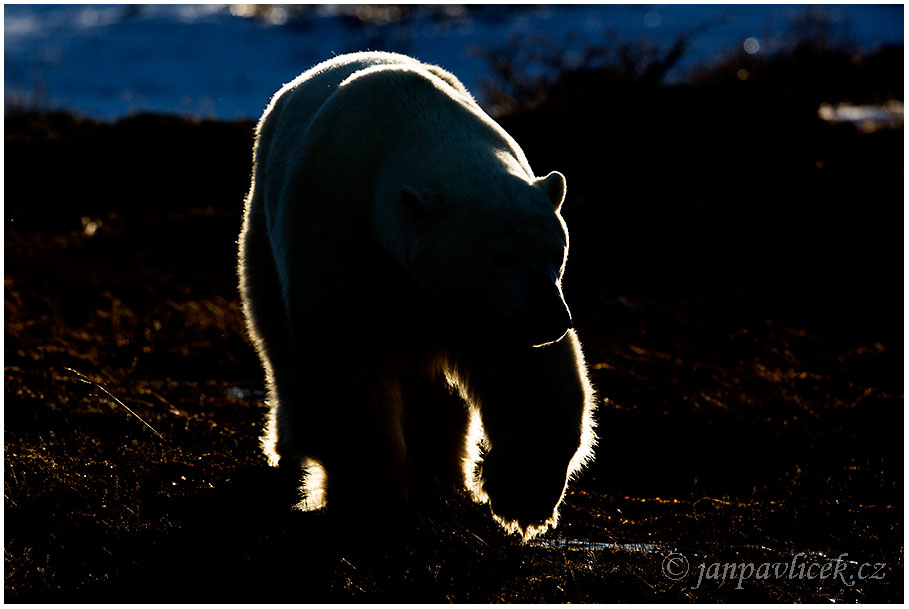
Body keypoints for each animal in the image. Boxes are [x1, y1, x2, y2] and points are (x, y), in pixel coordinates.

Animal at [238, 52, 596, 536]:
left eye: (556, 251)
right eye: (504, 257)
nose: (553, 319)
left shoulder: (490, 308)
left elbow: (528, 373)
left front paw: (522, 500)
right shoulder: (343, 241)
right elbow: (346, 364)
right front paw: (372, 501)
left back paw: (444, 475)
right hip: (262, 231)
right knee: (281, 344)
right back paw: (291, 451)